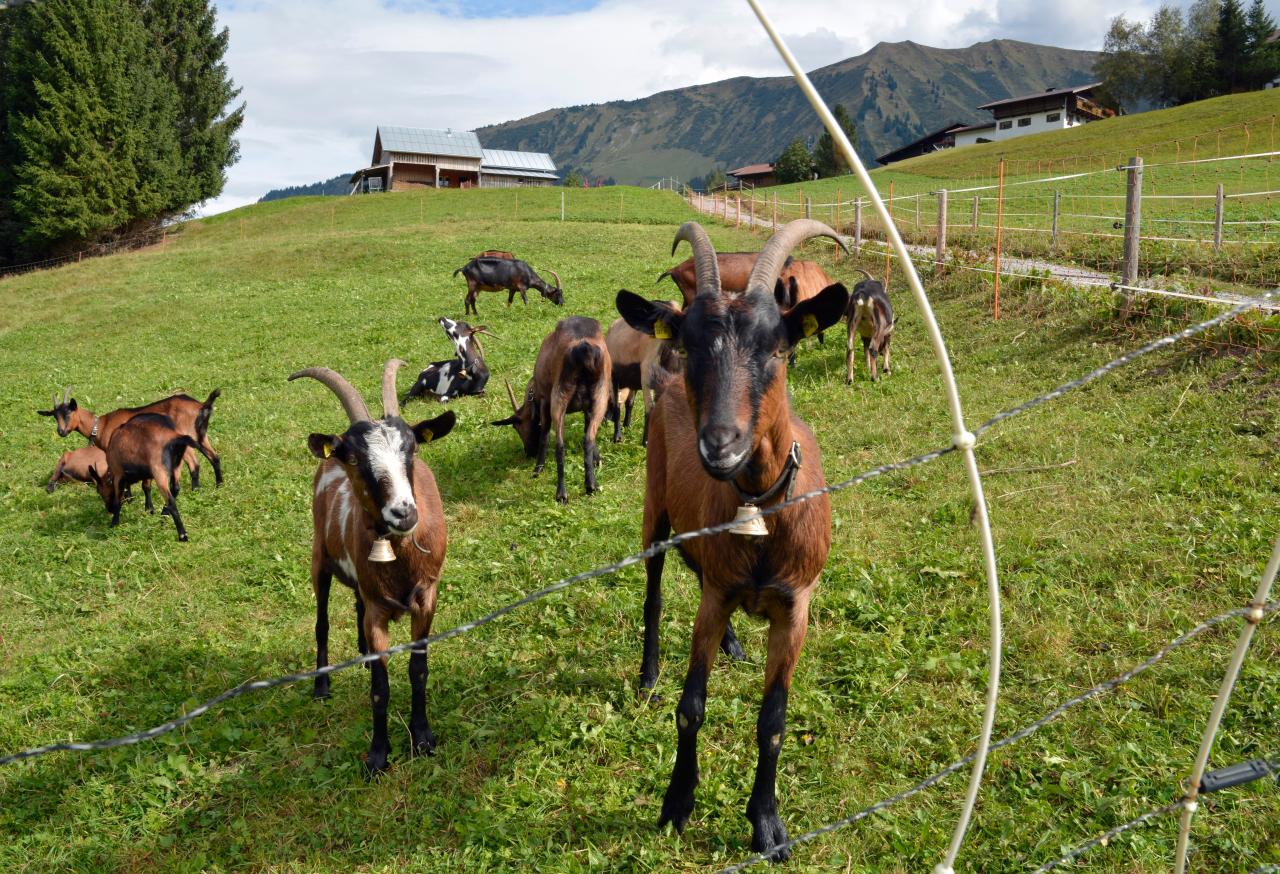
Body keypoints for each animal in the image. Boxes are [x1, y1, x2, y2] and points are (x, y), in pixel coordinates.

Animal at [38, 386, 223, 487]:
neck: (102, 425)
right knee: (214, 457)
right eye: (54, 416)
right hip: (201, 436)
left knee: (195, 464)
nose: (61, 432)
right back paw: (217, 485)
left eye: (69, 412)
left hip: (187, 439)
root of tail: (201, 405)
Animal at [87, 413, 216, 541]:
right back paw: (163, 515)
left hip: (159, 471)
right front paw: (149, 510)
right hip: (176, 466)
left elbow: (118, 499)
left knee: (171, 500)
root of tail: (172, 434)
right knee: (175, 488)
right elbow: (146, 487)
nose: (109, 509)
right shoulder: (148, 473)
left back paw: (182, 534)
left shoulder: (118, 474)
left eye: (99, 491)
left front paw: (114, 524)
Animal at [290, 361, 455, 775]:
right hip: (319, 559)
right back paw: (322, 685)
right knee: (322, 621)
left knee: (356, 606)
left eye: (413, 449)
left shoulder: (427, 597)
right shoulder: (379, 611)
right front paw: (378, 756)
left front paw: (423, 738)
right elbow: (380, 689)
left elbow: (418, 669)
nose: (403, 513)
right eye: (354, 459)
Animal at [490, 316, 610, 503]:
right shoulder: (588, 408)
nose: (529, 453)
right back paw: (591, 485)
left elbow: (544, 435)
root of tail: (584, 349)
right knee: (588, 439)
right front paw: (597, 461)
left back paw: (561, 493)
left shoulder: (545, 402)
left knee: (560, 445)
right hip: (600, 396)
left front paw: (538, 468)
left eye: (516, 426)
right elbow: (588, 433)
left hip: (558, 398)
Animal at [616, 220, 849, 861]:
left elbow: (773, 722)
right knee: (654, 588)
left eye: (778, 348)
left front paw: (767, 824)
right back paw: (649, 675)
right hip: (654, 508)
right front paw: (676, 803)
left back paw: (734, 646)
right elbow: (691, 707)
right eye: (695, 344)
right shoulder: (717, 595)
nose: (721, 443)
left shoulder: (795, 606)